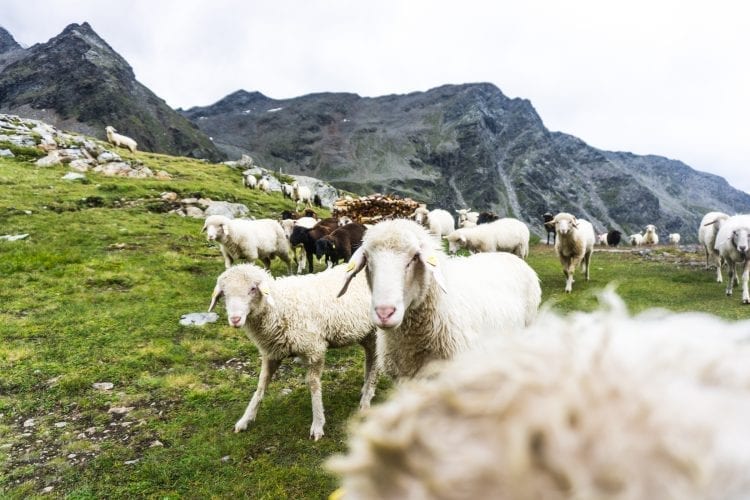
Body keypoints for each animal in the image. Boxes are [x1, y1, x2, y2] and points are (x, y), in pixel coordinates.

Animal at [209, 264, 378, 440]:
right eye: (224, 293)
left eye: (253, 288)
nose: (235, 319)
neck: (279, 306)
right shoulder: (271, 353)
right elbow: (261, 385)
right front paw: (245, 419)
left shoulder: (314, 349)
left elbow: (313, 385)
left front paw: (318, 424)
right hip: (366, 333)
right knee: (370, 357)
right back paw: (366, 389)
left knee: (375, 362)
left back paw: (366, 399)